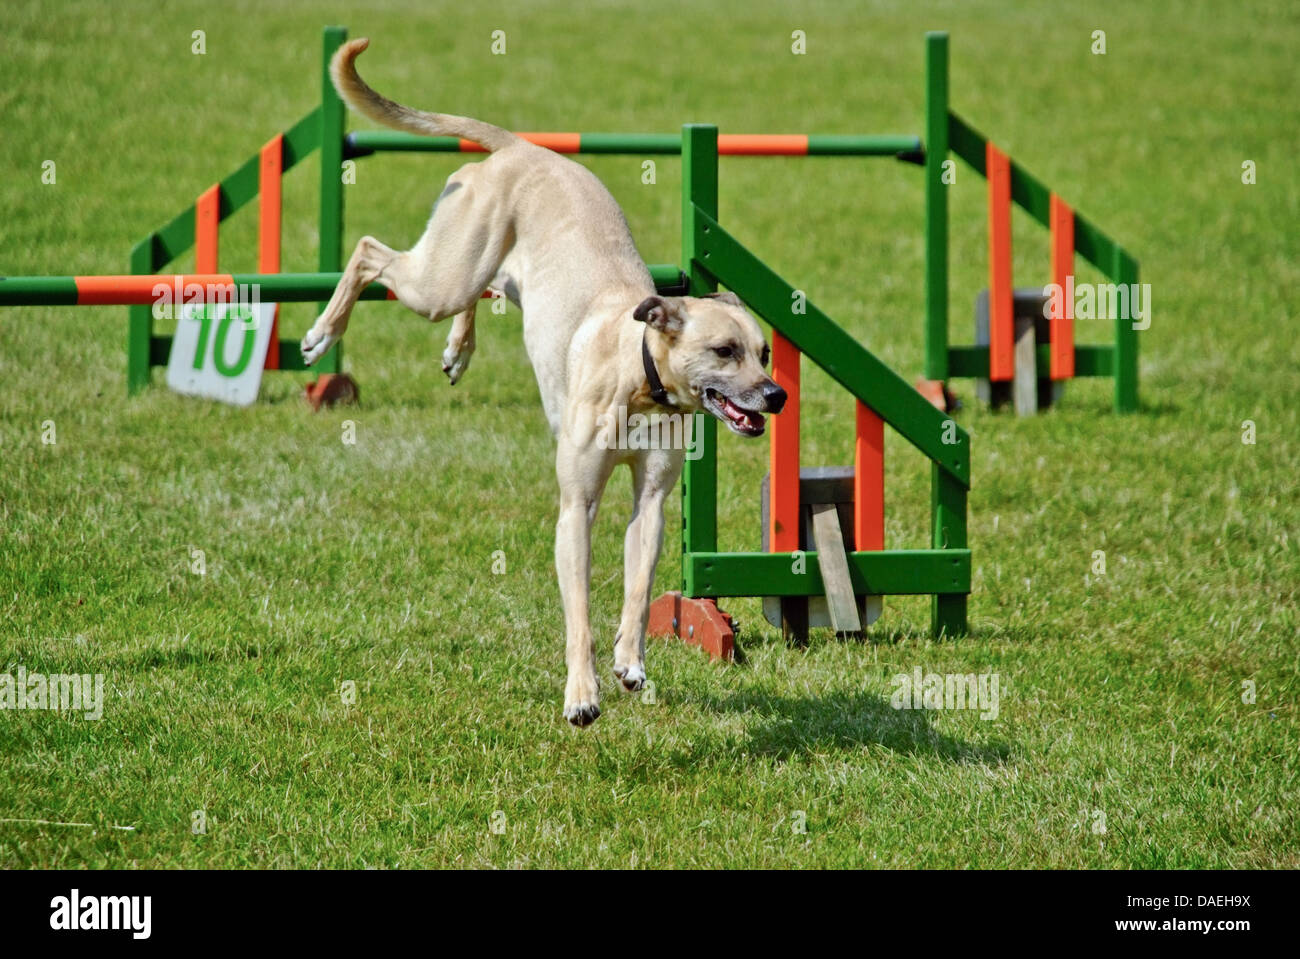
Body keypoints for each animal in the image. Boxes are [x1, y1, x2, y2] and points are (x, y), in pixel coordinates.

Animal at [304, 39, 785, 722]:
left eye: (765, 352)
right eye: (724, 351)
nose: (776, 395)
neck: (638, 376)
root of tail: (520, 148)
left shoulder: (651, 501)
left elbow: (638, 587)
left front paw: (631, 661)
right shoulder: (575, 506)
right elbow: (579, 609)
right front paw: (582, 693)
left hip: (494, 275)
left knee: (472, 294)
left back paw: (459, 349)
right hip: (442, 276)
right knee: (373, 252)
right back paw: (324, 330)